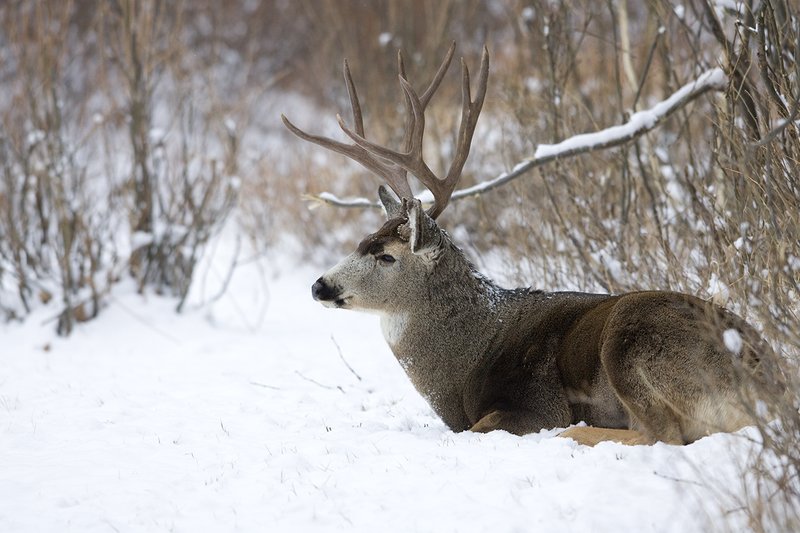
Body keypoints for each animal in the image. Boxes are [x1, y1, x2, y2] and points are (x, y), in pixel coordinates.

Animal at [281, 43, 774, 446]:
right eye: (361, 240)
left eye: (385, 256)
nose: (319, 286)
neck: (468, 359)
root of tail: (771, 379)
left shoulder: (535, 403)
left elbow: (480, 429)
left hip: (632, 340)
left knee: (662, 433)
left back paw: (578, 433)